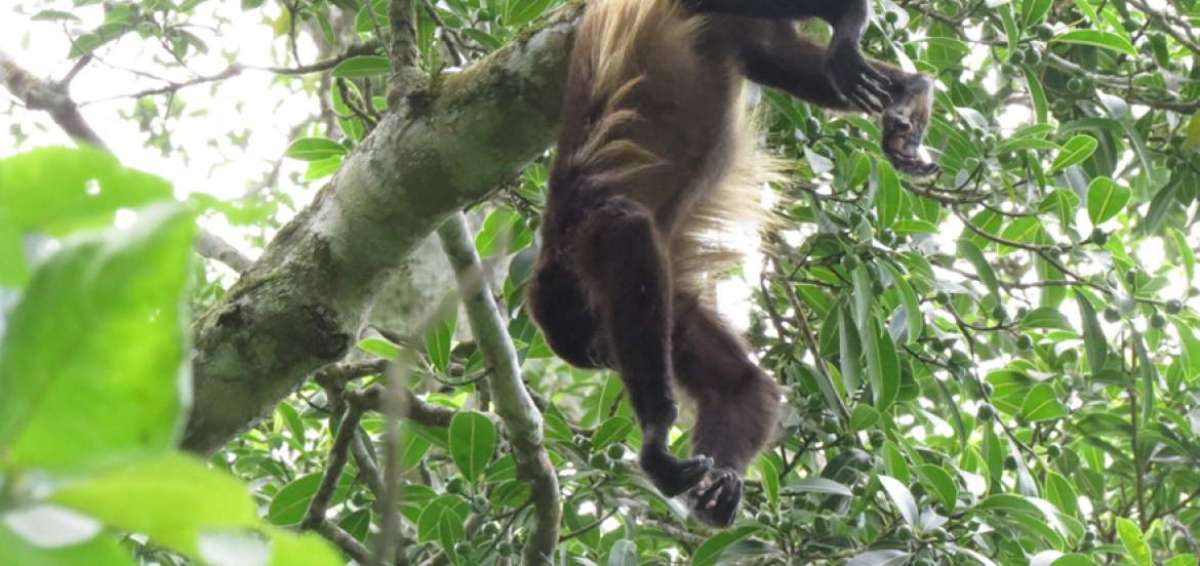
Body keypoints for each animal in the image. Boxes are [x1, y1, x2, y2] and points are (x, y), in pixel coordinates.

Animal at [526, 0, 937, 528]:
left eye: (599, 349)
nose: (613, 361)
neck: (559, 252)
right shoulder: (674, 312)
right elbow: (742, 386)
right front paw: (717, 485)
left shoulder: (591, 235)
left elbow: (626, 228)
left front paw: (654, 443)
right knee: (768, 56)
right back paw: (909, 91)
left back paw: (850, 24)